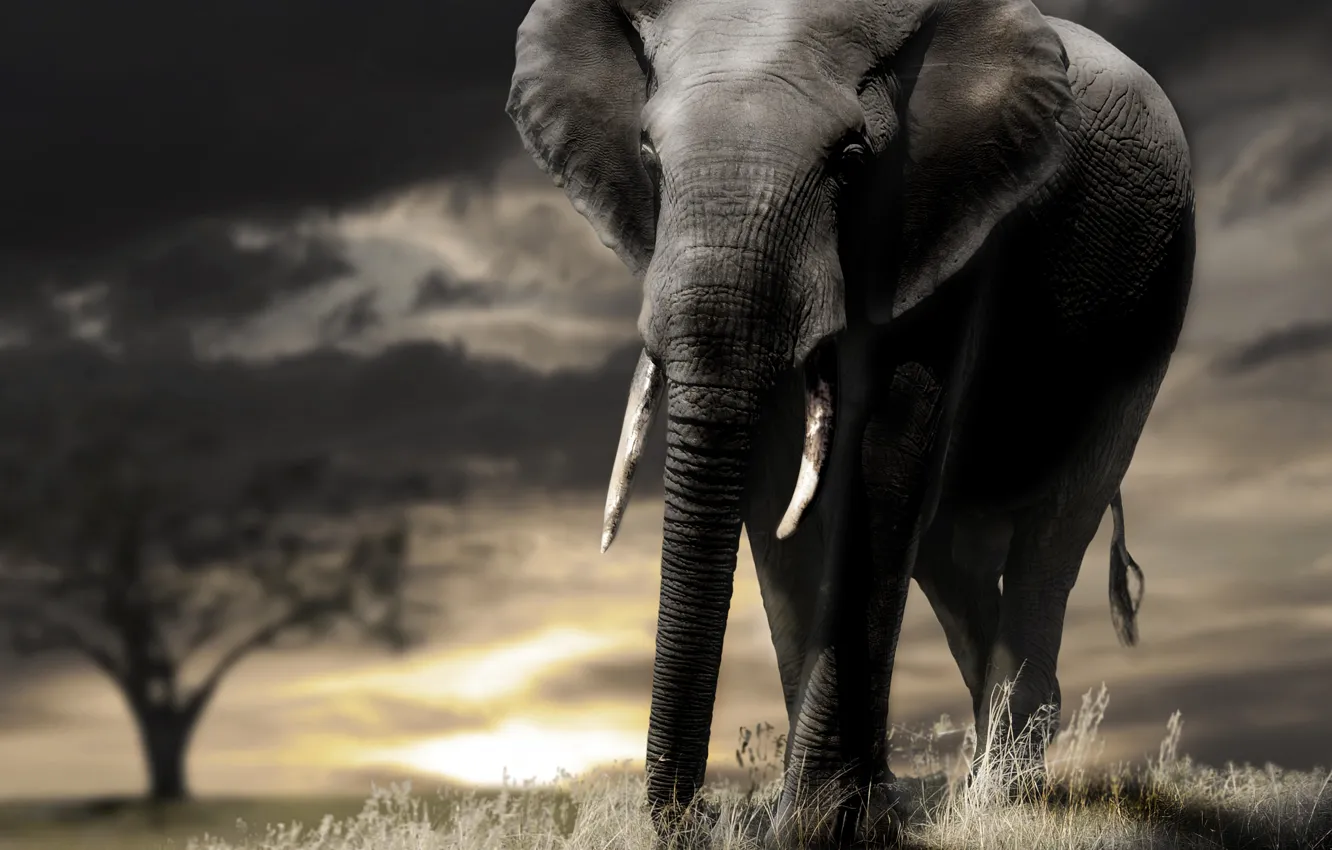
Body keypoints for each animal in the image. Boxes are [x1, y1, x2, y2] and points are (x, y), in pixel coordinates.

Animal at [506, 0, 1193, 845]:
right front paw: (851, 818)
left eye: (852, 158)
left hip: (1148, 307)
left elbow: (886, 463)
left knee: (1055, 532)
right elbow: (776, 493)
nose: (704, 816)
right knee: (952, 558)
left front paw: (815, 826)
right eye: (647, 154)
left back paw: (1000, 802)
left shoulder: (941, 216)